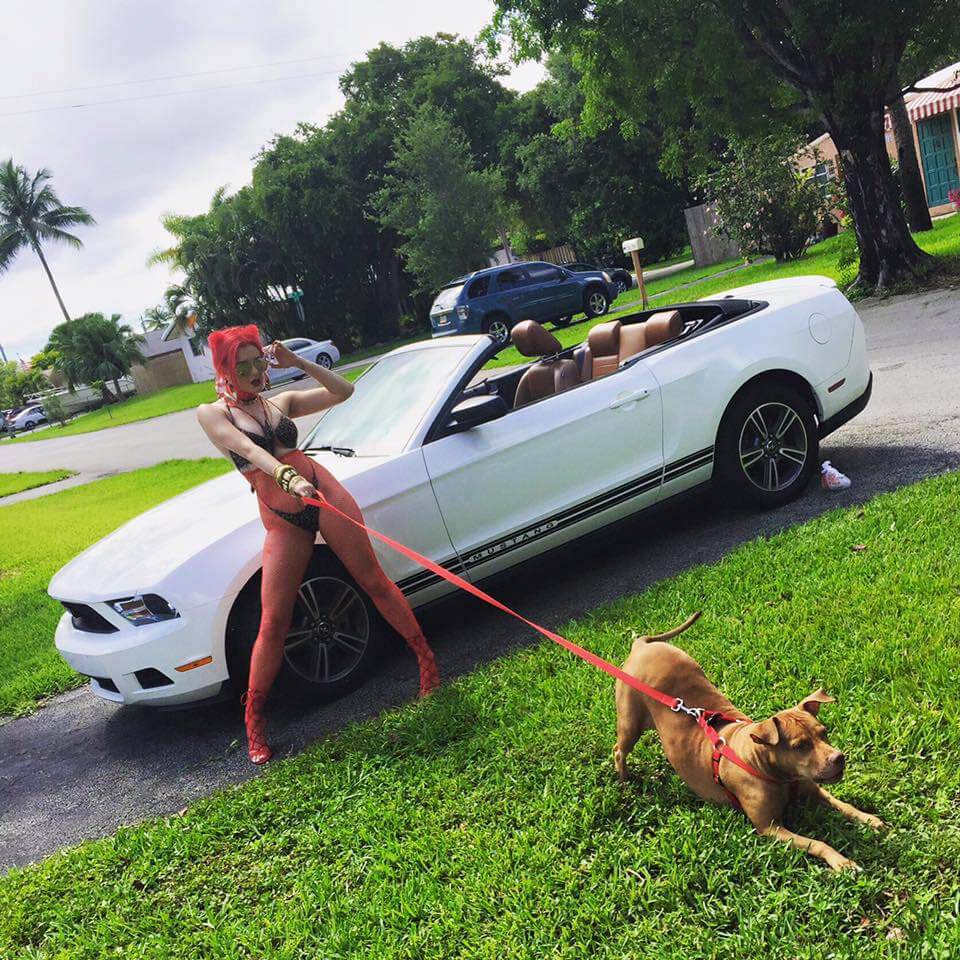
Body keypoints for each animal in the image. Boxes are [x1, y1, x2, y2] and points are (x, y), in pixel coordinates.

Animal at [616, 616, 884, 872]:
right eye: (800, 746)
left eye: (824, 733)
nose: (839, 758)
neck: (767, 767)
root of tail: (641, 645)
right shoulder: (770, 828)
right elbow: (818, 843)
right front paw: (841, 862)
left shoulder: (814, 790)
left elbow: (843, 804)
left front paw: (868, 818)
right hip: (630, 723)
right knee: (619, 750)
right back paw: (624, 780)